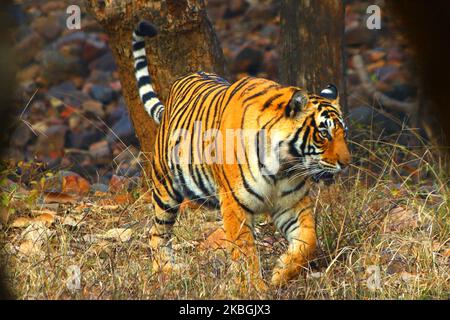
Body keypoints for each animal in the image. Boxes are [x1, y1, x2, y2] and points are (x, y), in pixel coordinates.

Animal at [133, 21, 352, 288]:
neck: (283, 166)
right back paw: (165, 269)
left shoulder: (292, 204)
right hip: (166, 187)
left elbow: (308, 241)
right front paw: (254, 288)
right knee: (157, 231)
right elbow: (245, 251)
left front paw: (281, 273)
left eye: (343, 133)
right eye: (323, 133)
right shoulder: (235, 205)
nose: (346, 163)